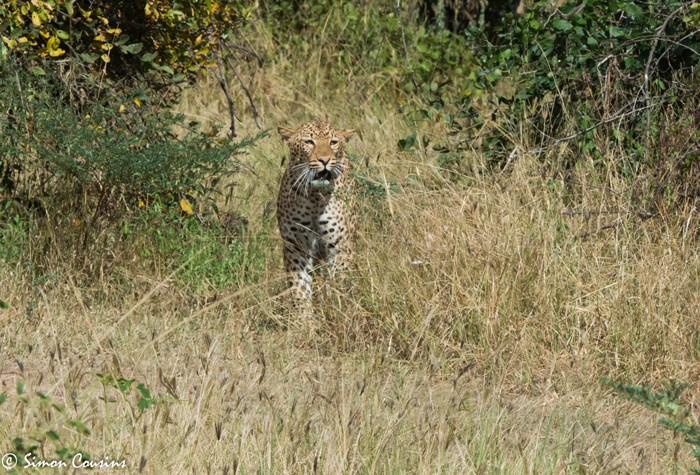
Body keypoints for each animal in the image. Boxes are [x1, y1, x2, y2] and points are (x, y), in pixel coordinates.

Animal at [276, 120, 356, 312]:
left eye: (333, 142)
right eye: (309, 142)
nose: (324, 160)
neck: (315, 197)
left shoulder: (339, 246)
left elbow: (339, 282)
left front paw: (338, 309)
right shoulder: (296, 247)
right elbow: (299, 287)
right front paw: (303, 318)